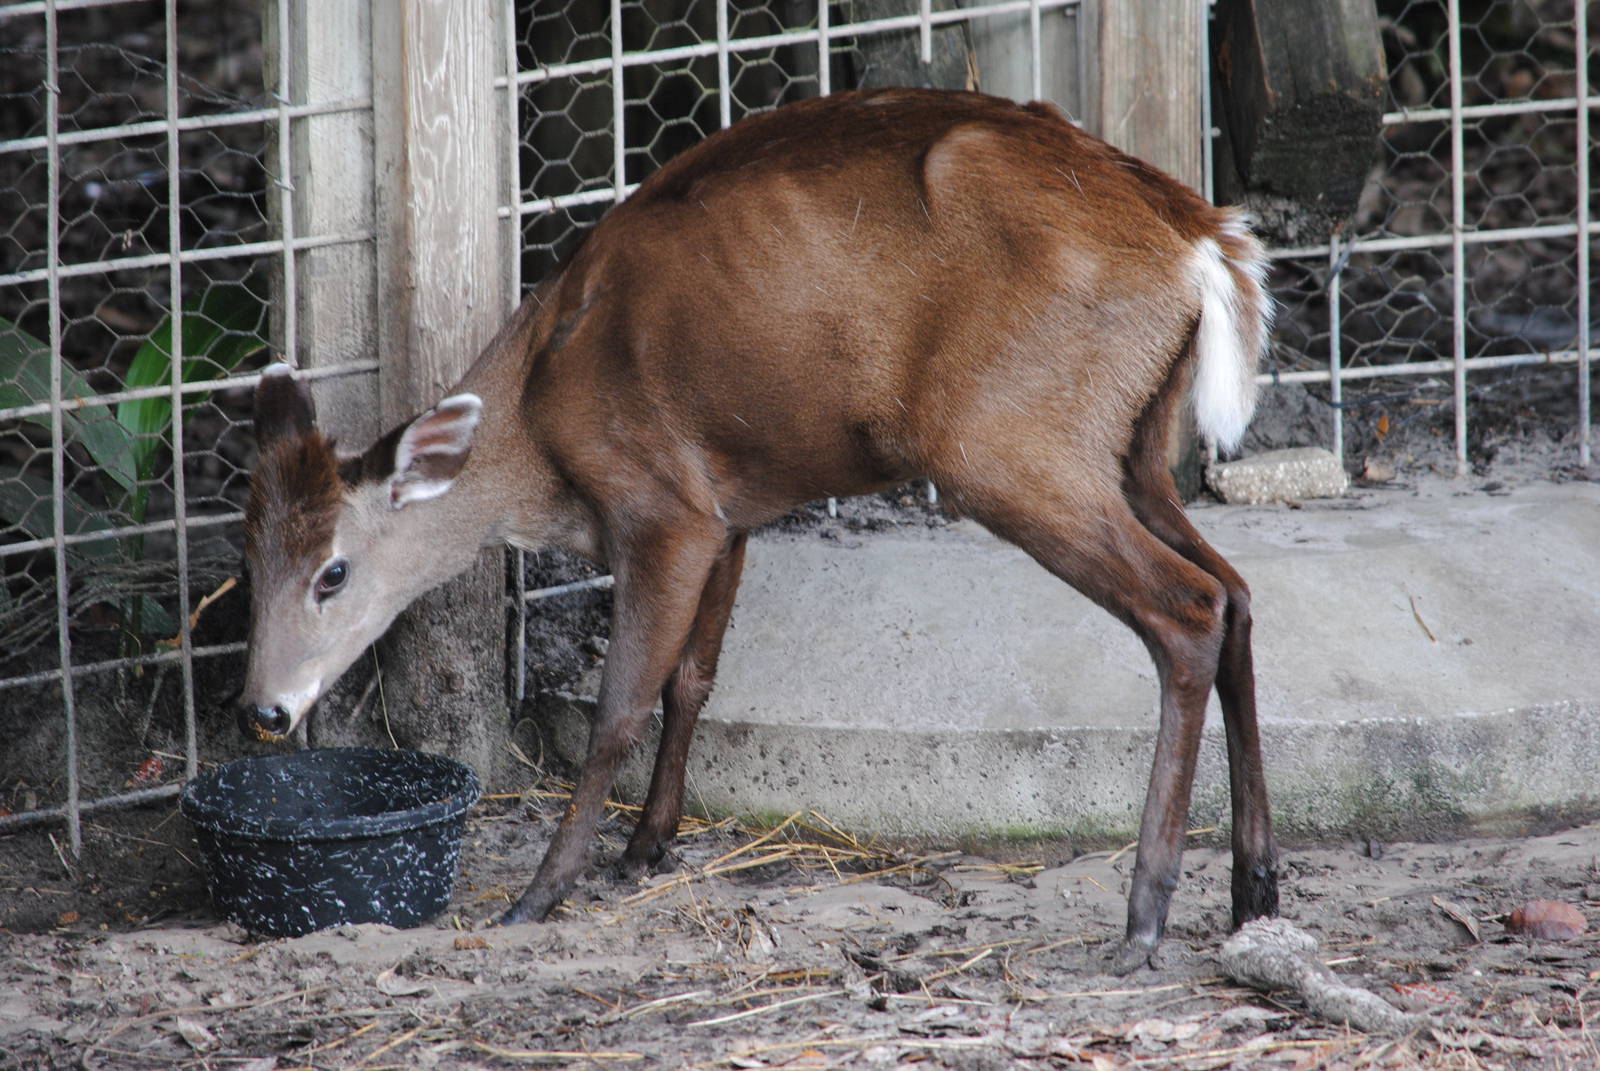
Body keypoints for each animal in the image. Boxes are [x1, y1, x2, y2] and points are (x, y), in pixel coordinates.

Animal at [240, 88, 1278, 973]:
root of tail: (1204, 243)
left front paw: (543, 891)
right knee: (1236, 592)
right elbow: (693, 679)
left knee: (1187, 607)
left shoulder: (663, 503)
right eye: (248, 565)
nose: (264, 709)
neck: (540, 430)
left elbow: (621, 706)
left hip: (1007, 441)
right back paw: (1253, 888)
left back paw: (1144, 919)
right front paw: (645, 846)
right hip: (1132, 448)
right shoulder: (731, 512)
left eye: (333, 572)